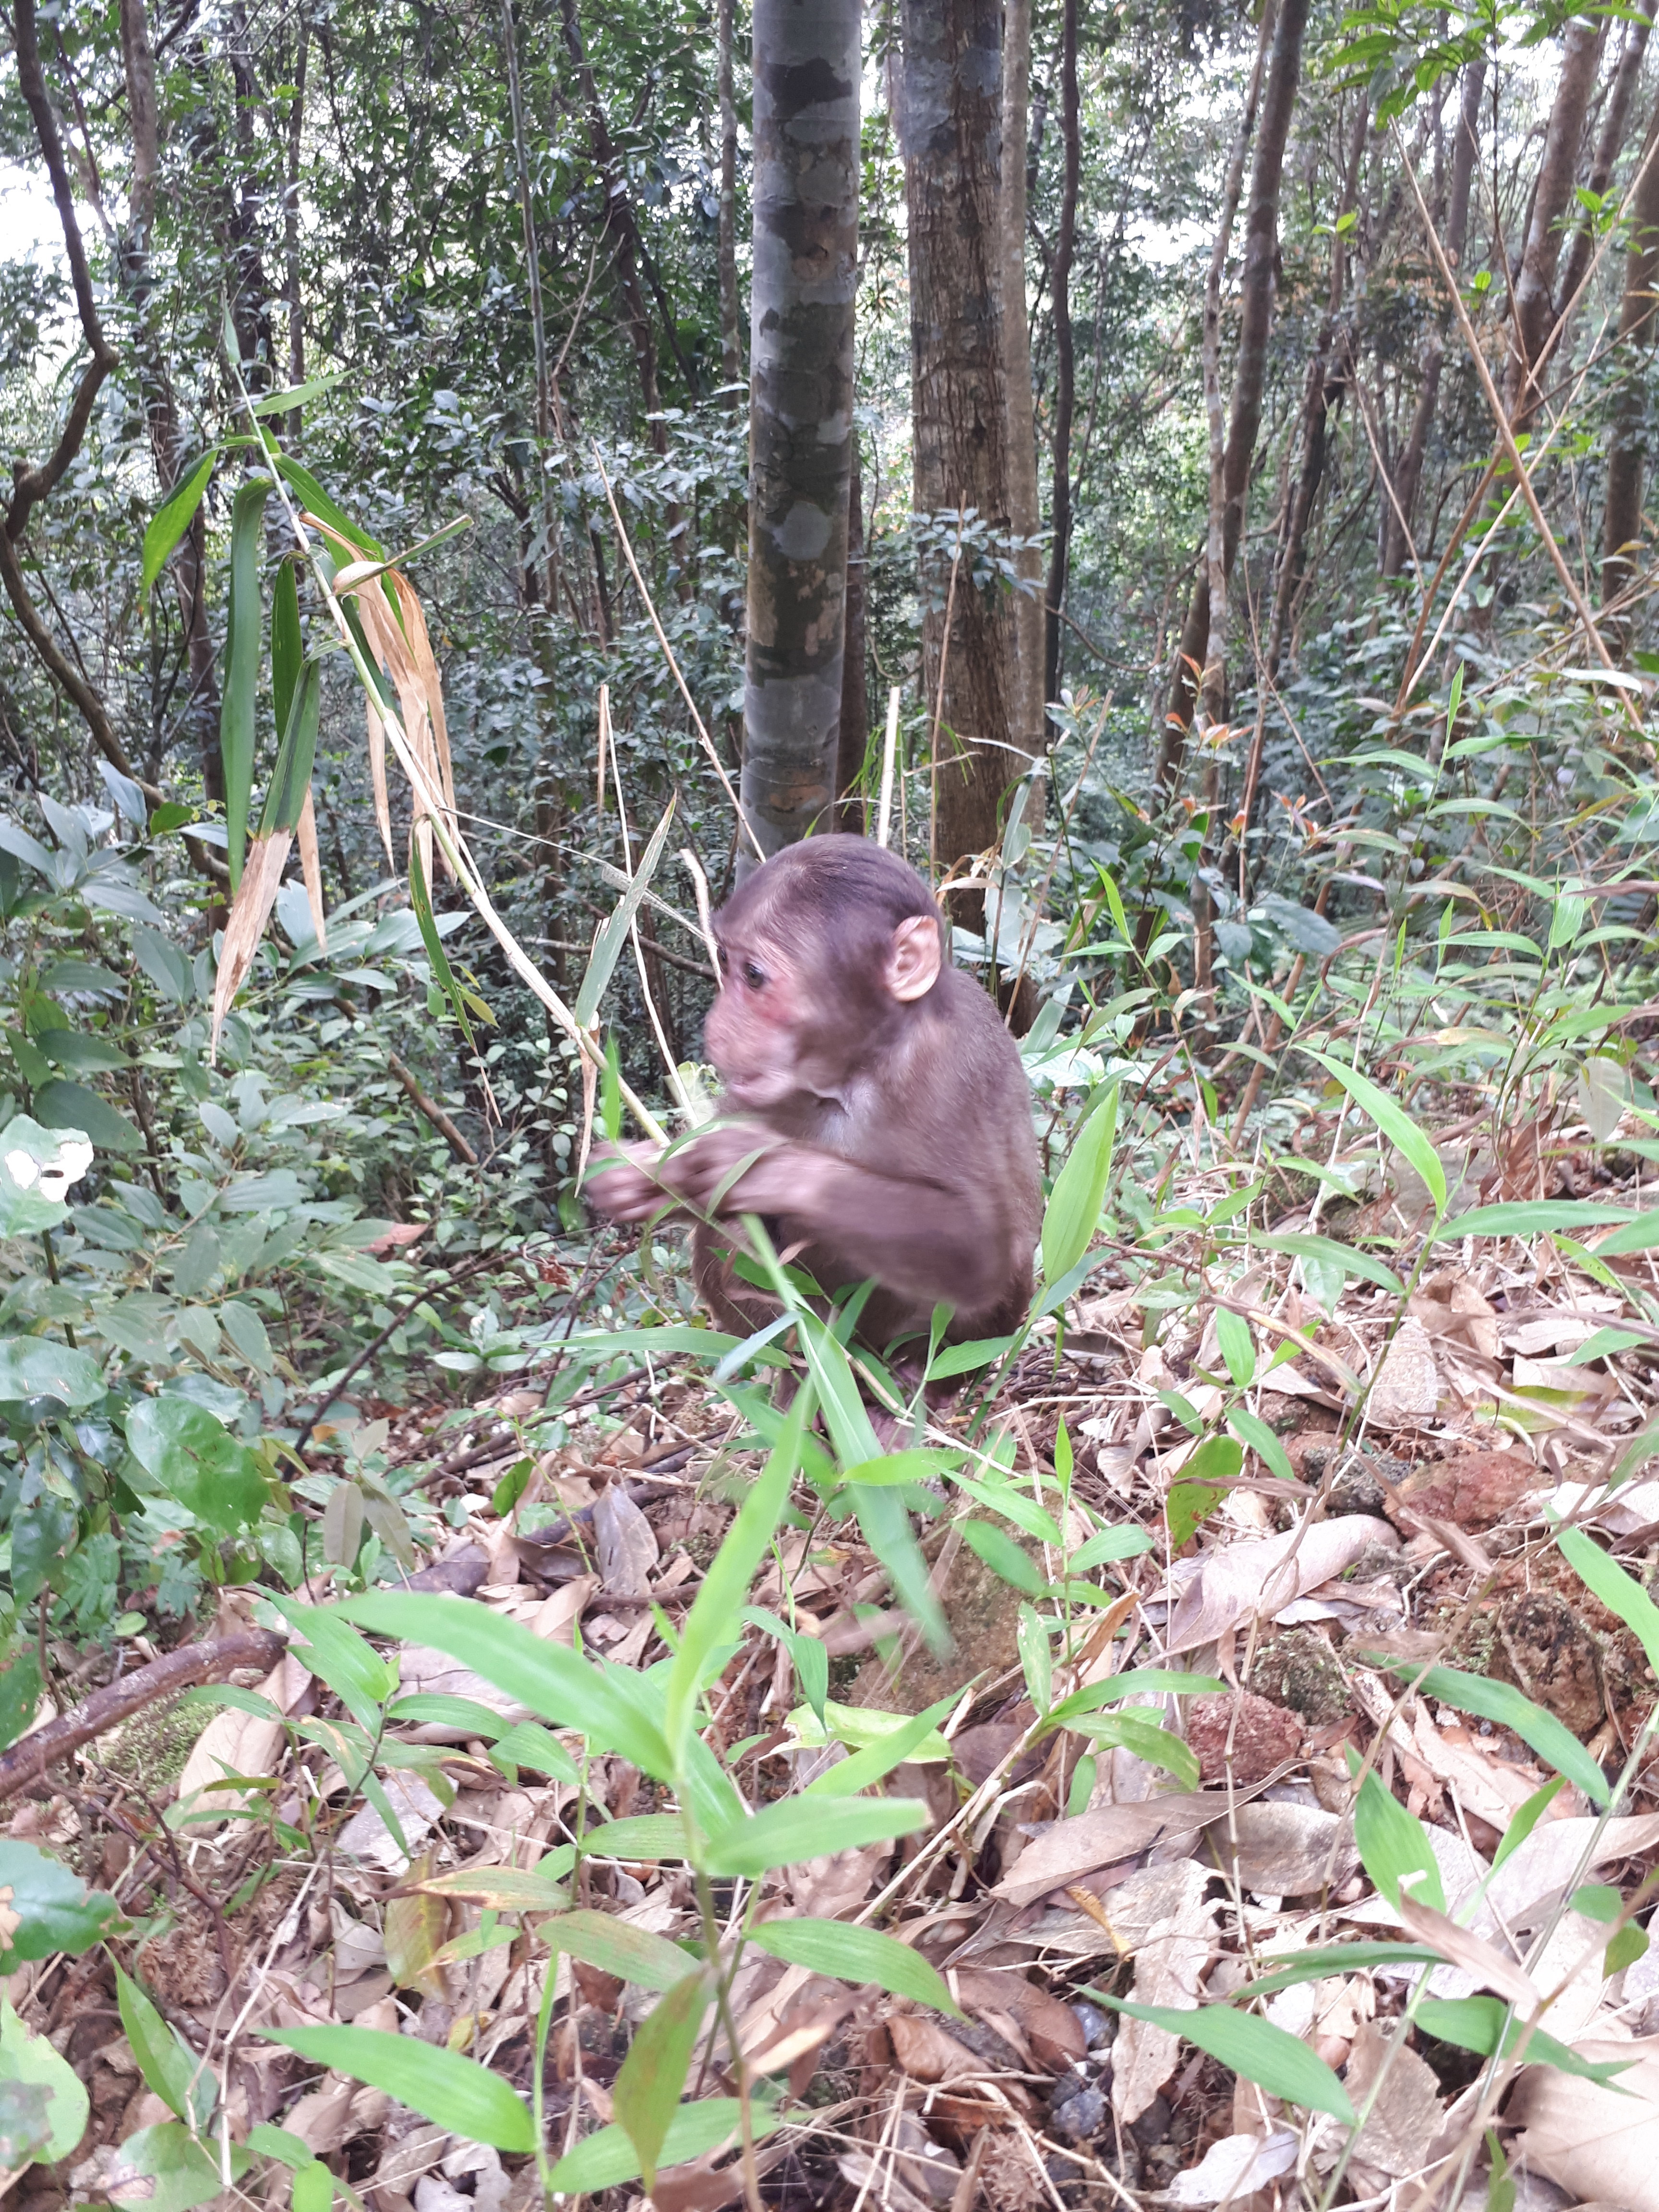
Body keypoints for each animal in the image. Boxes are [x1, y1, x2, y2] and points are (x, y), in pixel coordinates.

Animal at [592, 831, 1044, 1354]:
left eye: (754, 976)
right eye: (724, 961)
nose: (717, 1025)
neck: (858, 1072)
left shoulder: (956, 1064)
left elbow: (981, 1249)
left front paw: (751, 1162)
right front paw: (638, 1178)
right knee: (730, 1236)